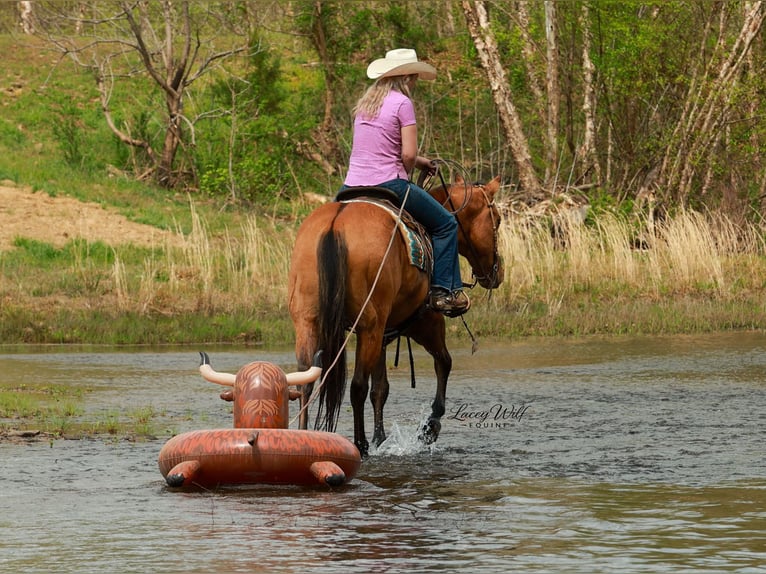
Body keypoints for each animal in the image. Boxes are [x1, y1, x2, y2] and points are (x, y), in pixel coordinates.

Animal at [287, 174, 503, 457]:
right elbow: (444, 363)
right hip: (370, 325)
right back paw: (361, 446)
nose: (497, 273)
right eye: (496, 220)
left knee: (306, 382)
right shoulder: (425, 321)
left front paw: (381, 438)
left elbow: (381, 388)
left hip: (310, 323)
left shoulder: (383, 333)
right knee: (357, 386)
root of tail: (335, 225)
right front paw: (429, 428)